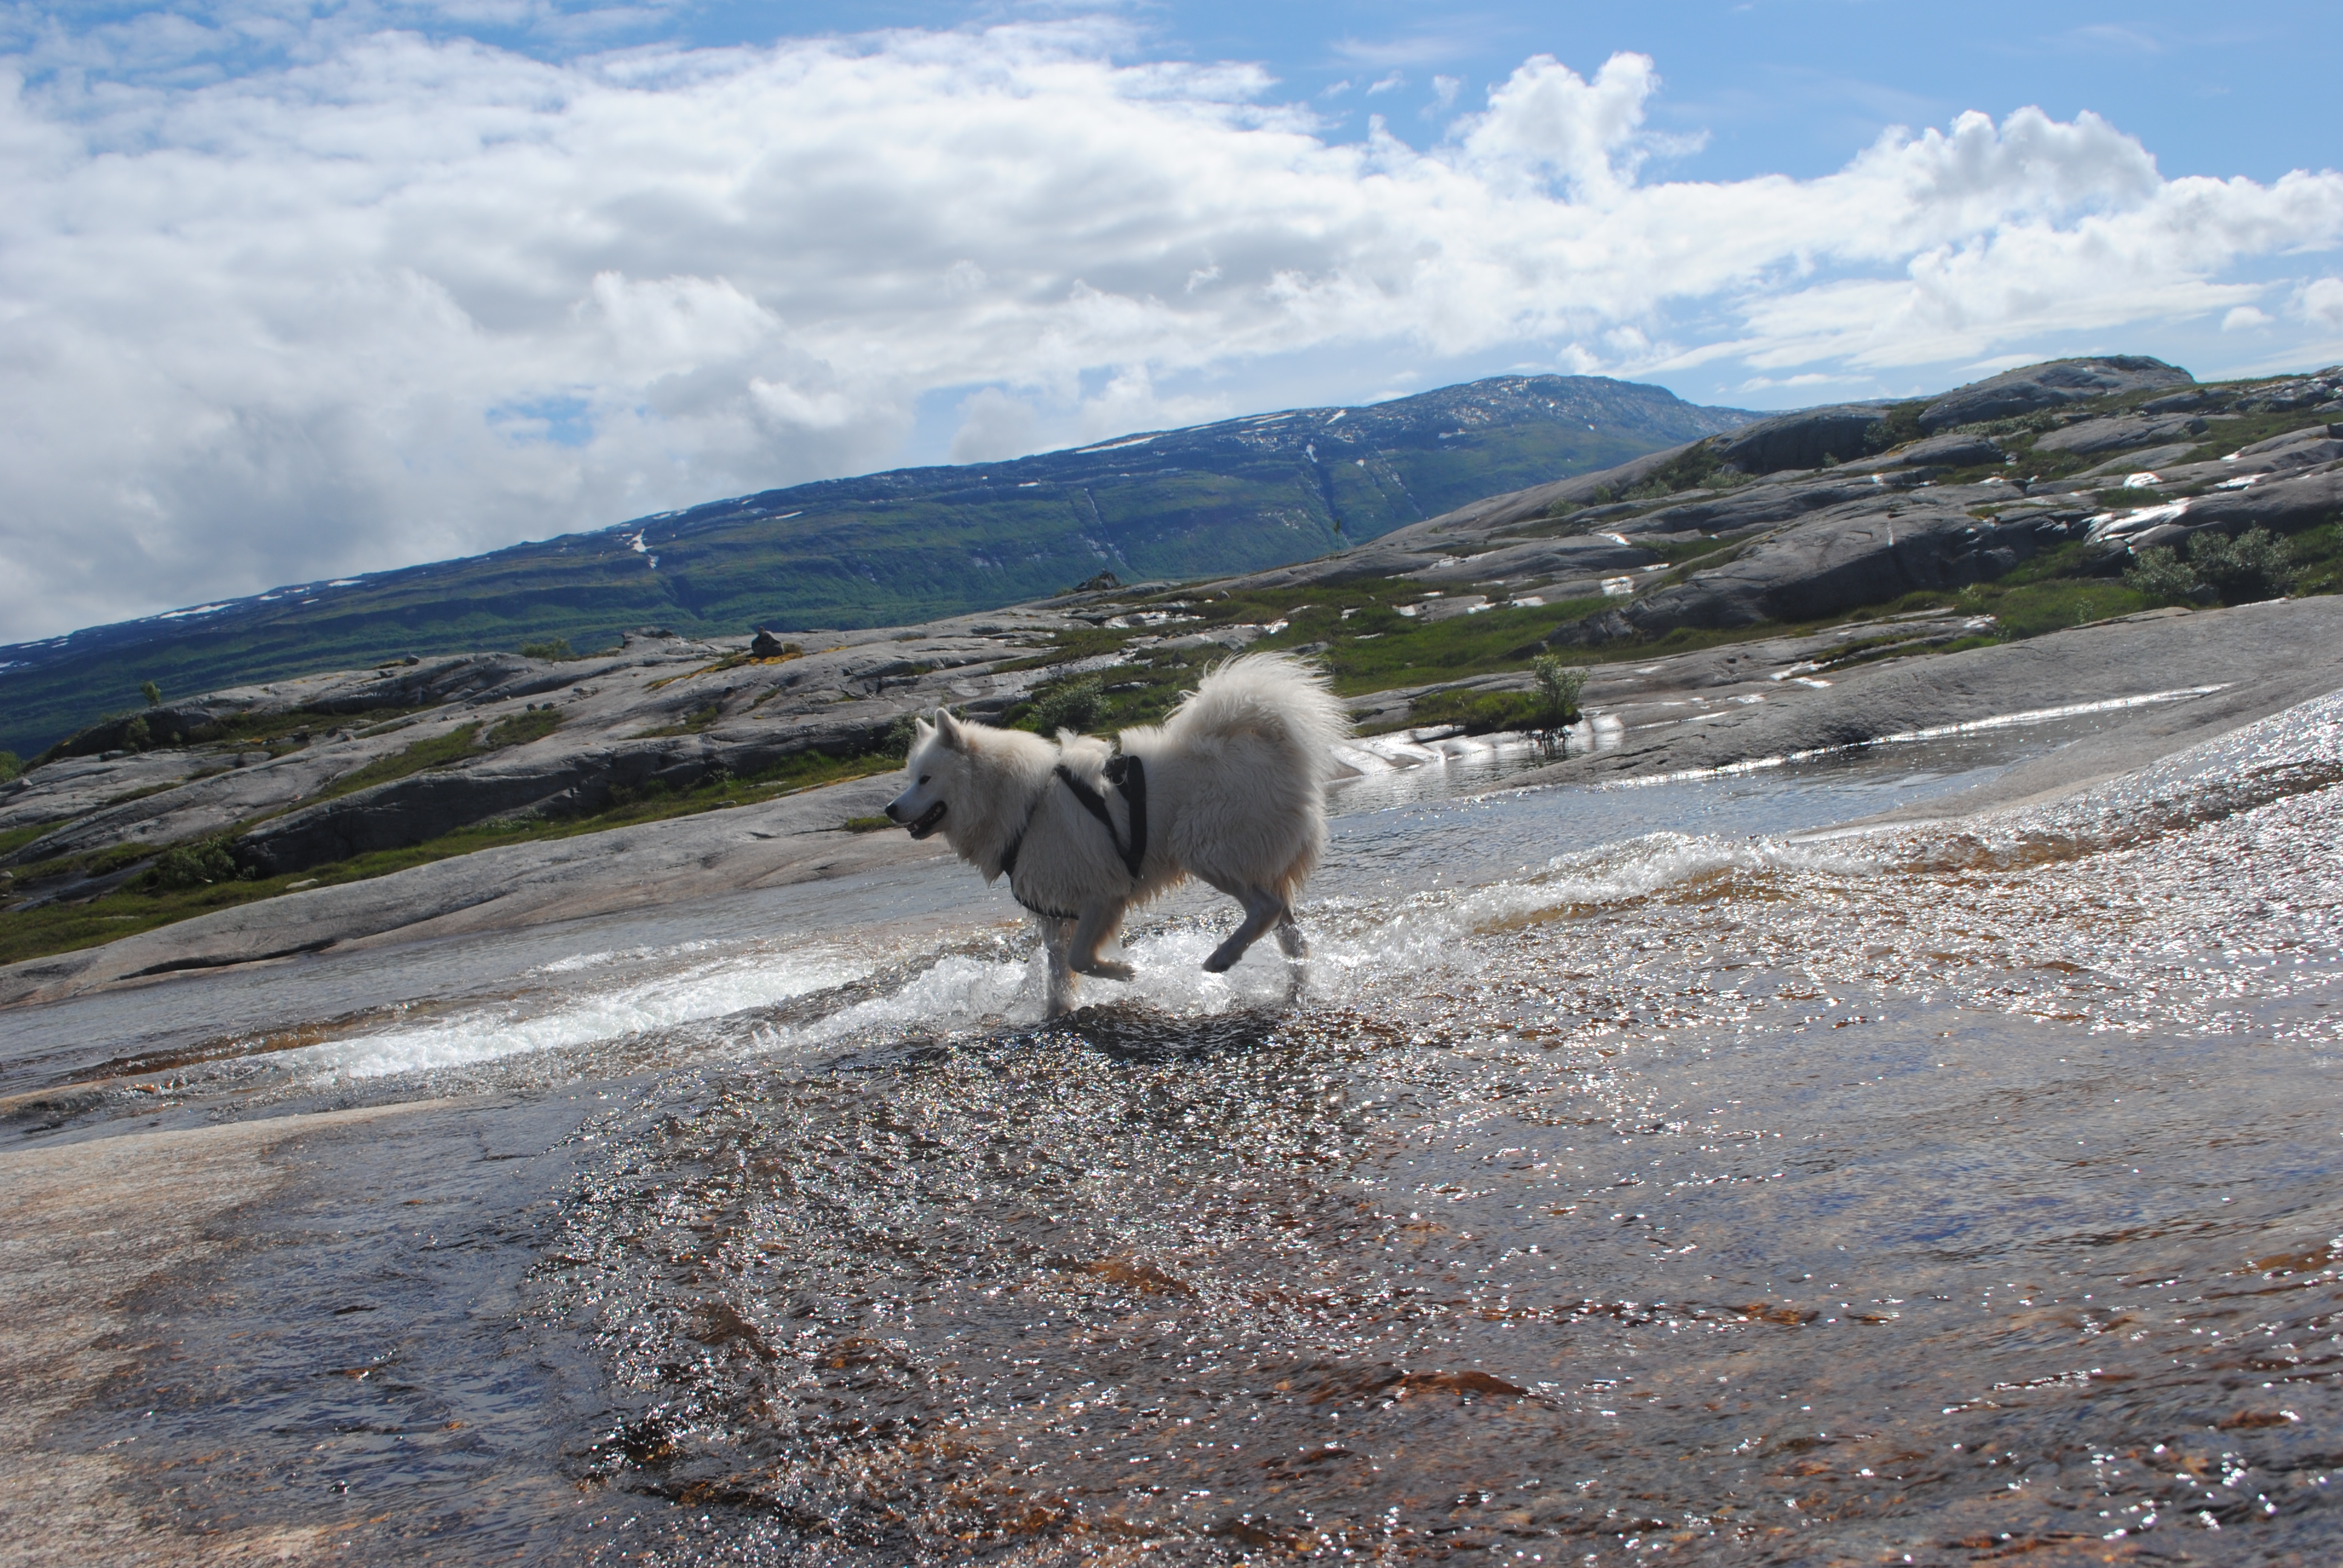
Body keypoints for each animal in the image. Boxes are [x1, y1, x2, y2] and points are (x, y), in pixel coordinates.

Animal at [884, 652, 1352, 1013]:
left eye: (925, 779)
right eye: (909, 778)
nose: (889, 809)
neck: (1027, 805)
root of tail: (1277, 747)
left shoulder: (1102, 894)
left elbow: (1080, 959)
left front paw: (1123, 972)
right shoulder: (1054, 916)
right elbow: (1059, 976)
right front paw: (1057, 1016)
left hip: (1204, 849)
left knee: (1265, 908)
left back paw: (1222, 957)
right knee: (1293, 939)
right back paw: (1294, 992)